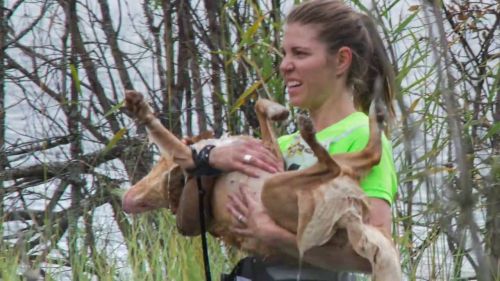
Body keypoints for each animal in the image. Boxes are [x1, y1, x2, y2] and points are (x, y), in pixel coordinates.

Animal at [122, 89, 402, 278]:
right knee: (338, 162)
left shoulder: (271, 156)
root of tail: (349, 217)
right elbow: (166, 138)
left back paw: (372, 115)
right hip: (278, 188)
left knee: (368, 154)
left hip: (325, 170)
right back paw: (312, 131)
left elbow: (258, 105)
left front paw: (277, 110)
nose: (127, 201)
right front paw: (142, 112)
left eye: (158, 165)